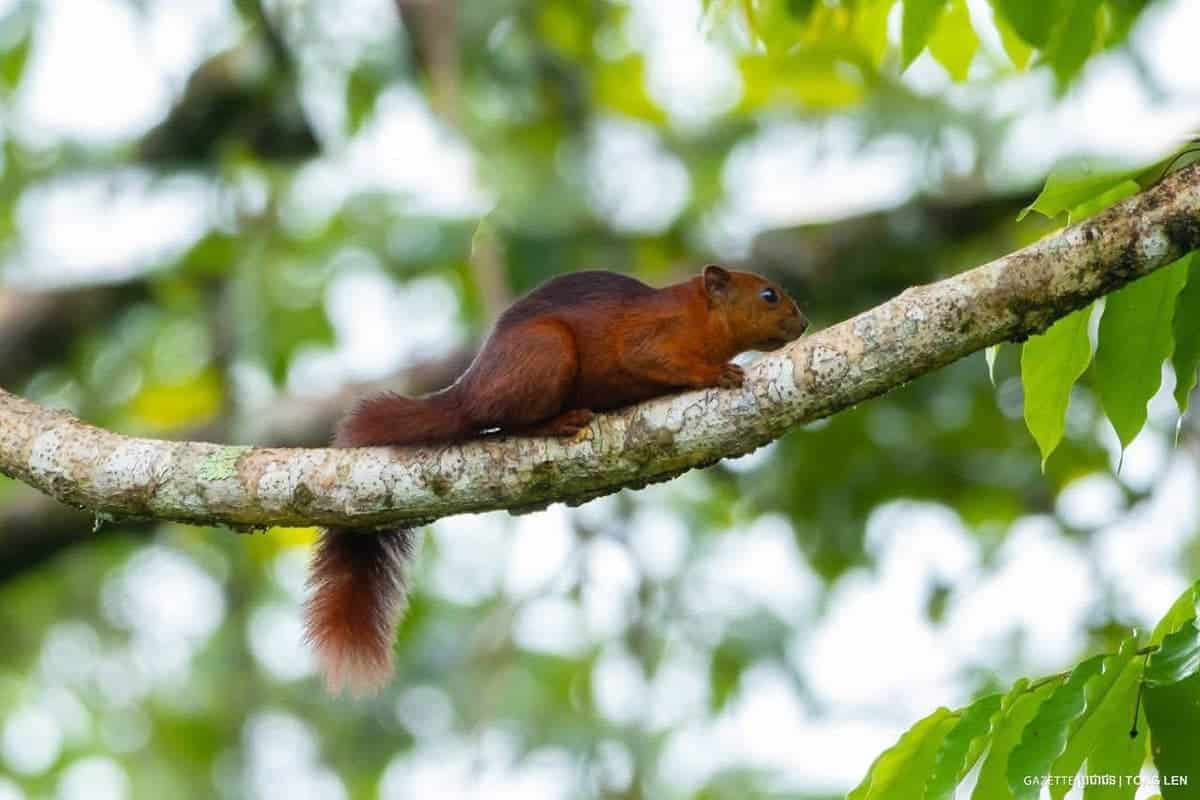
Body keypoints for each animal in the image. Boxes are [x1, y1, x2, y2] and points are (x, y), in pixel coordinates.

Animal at [304, 264, 808, 693]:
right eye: (768, 294)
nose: (802, 324)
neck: (698, 315)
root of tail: (468, 391)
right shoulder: (650, 338)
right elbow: (656, 359)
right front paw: (718, 372)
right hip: (547, 353)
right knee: (506, 425)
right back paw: (559, 422)